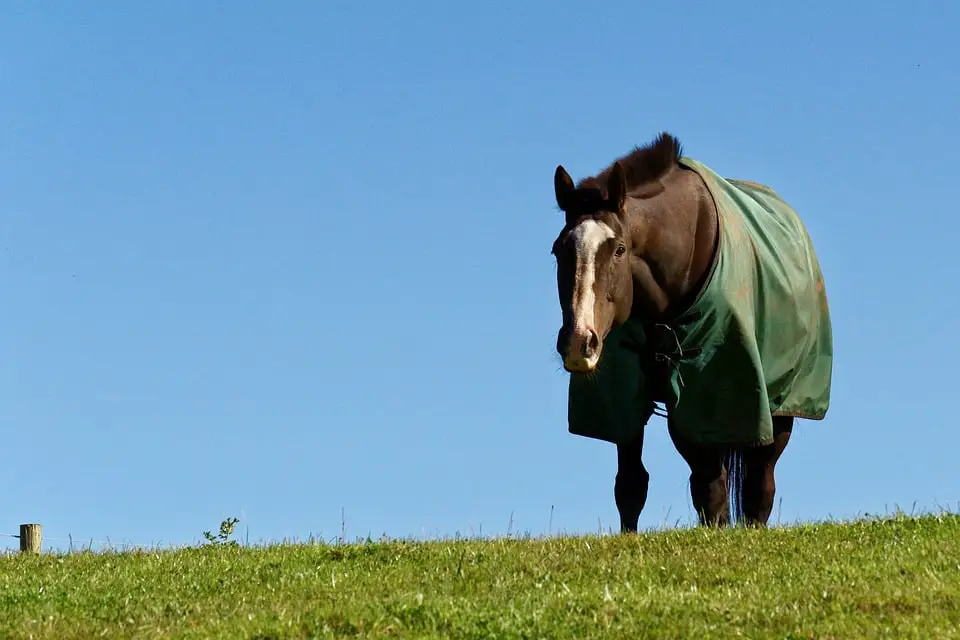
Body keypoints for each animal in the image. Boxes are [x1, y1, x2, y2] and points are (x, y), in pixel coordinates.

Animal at [552, 134, 828, 528]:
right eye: (558, 250)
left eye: (619, 248)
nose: (579, 343)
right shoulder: (626, 398)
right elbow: (631, 485)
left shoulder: (711, 396)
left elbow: (711, 489)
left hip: (780, 407)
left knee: (759, 485)